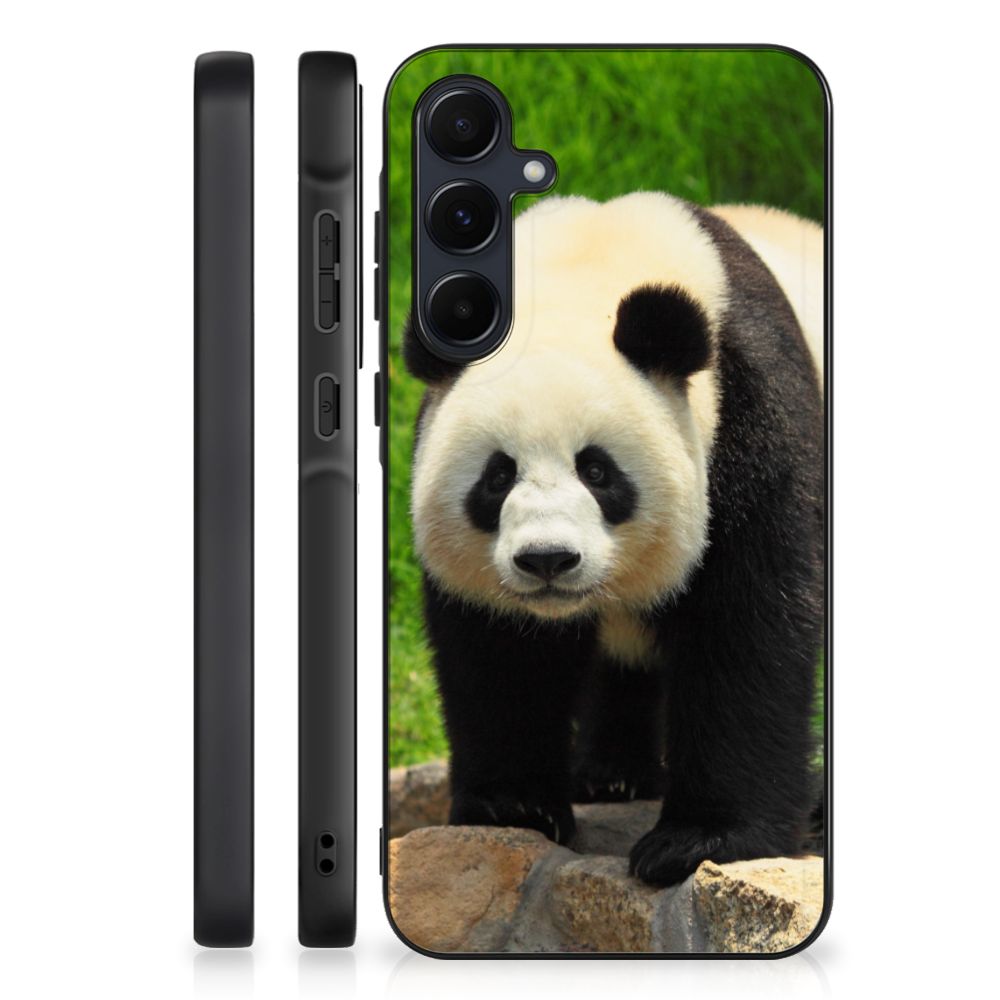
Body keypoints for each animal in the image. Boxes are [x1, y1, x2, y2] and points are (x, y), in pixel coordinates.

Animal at [403, 191, 824, 887]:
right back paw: (611, 775)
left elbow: (748, 626)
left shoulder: (750, 417)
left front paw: (699, 840)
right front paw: (513, 806)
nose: (547, 560)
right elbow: (500, 653)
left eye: (597, 471)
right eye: (497, 476)